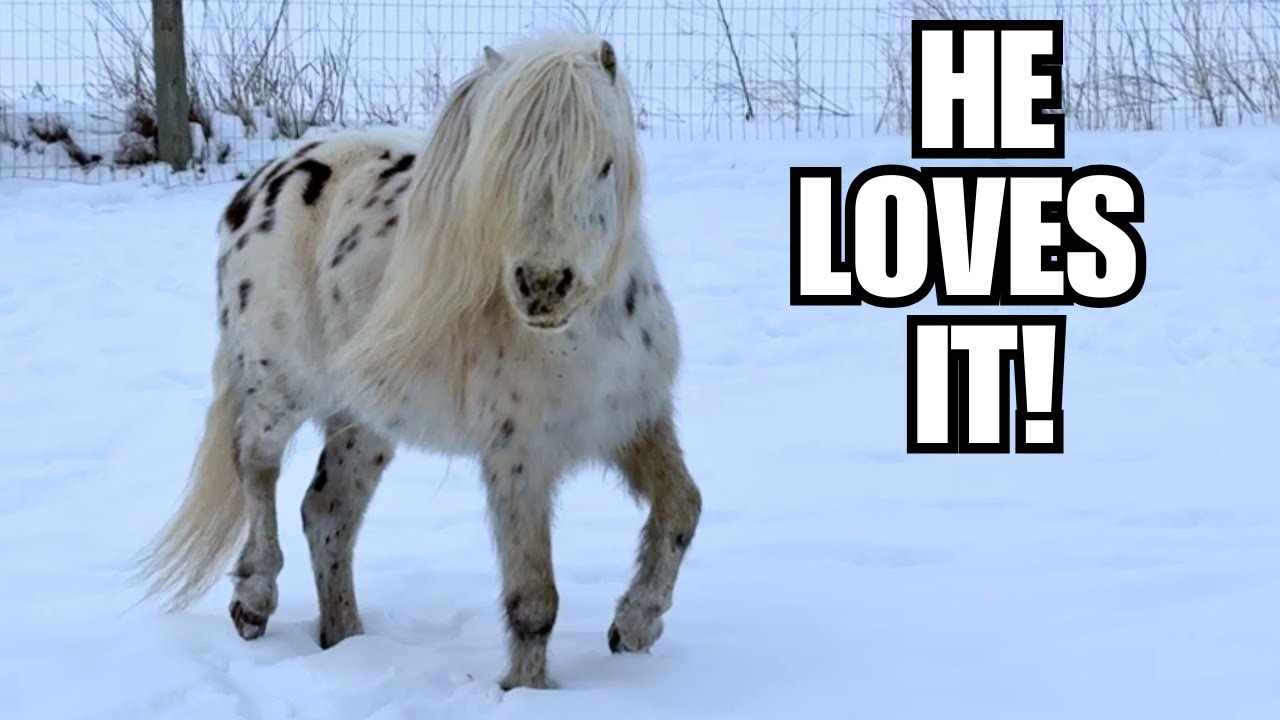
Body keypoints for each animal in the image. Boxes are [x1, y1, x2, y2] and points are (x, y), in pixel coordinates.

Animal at [132, 31, 702, 691]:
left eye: (604, 164)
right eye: (499, 173)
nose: (542, 285)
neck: (575, 342)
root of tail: (266, 179)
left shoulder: (634, 421)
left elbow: (682, 509)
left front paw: (635, 627)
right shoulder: (518, 460)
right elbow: (534, 600)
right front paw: (527, 691)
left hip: (365, 421)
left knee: (327, 511)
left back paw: (347, 643)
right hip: (279, 382)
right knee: (256, 464)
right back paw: (254, 599)